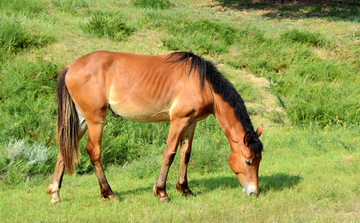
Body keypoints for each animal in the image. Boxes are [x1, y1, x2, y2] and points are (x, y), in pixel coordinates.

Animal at [46, 51, 262, 204]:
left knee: (64, 150)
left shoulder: (191, 123)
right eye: (248, 161)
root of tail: (71, 66)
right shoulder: (178, 121)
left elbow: (185, 154)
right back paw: (109, 193)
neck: (202, 84)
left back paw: (55, 194)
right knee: (94, 151)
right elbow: (170, 153)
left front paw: (184, 189)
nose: (254, 192)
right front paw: (162, 192)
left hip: (81, 121)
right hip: (95, 119)